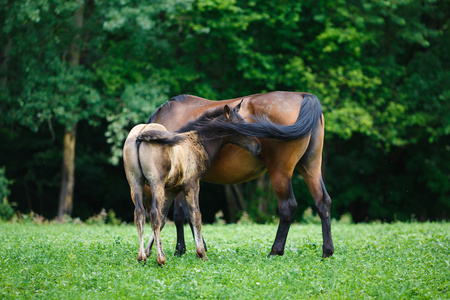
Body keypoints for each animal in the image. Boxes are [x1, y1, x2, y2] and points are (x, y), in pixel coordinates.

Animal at [125, 103, 262, 264]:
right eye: (240, 125)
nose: (258, 147)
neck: (196, 141)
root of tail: (140, 134)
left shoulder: (172, 189)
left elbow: (164, 218)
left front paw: (147, 252)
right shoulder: (192, 184)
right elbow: (195, 215)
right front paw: (201, 253)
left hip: (135, 182)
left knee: (140, 214)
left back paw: (141, 257)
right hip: (155, 183)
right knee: (154, 214)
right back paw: (161, 259)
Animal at [148, 91, 334, 258]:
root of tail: (303, 96)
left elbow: (182, 215)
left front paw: (184, 249)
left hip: (280, 172)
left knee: (288, 206)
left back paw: (275, 251)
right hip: (310, 166)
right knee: (322, 202)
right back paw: (327, 251)